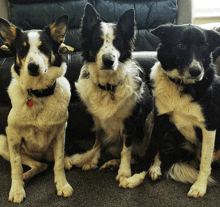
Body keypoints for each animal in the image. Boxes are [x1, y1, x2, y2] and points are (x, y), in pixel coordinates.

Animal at [0, 15, 74, 203]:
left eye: (44, 48)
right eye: (22, 49)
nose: (33, 67)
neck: (39, 93)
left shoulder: (60, 132)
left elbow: (58, 163)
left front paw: (62, 185)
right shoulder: (13, 135)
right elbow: (16, 167)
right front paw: (17, 190)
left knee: (50, 162)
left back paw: (67, 161)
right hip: (3, 143)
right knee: (38, 164)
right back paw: (25, 177)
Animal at [64, 3, 154, 188]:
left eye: (118, 42)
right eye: (97, 41)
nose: (108, 60)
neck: (108, 87)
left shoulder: (130, 121)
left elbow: (126, 150)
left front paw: (124, 172)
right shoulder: (97, 119)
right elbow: (97, 141)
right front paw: (91, 160)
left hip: (152, 118)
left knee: (147, 159)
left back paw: (135, 177)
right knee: (135, 157)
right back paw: (106, 163)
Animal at [123, 23, 220, 198]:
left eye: (204, 47)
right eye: (181, 45)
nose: (196, 72)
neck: (181, 85)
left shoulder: (209, 125)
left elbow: (205, 160)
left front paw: (200, 186)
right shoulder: (160, 120)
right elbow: (150, 151)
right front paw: (136, 178)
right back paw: (155, 168)